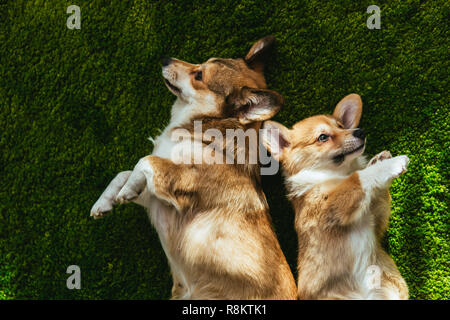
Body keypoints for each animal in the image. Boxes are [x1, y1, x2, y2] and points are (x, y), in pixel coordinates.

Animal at [89, 37, 298, 300]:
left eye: (198, 75)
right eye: (201, 63)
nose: (165, 59)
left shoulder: (180, 183)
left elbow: (146, 160)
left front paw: (126, 191)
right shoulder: (157, 199)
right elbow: (123, 173)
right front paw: (104, 202)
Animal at [262, 94, 410, 298]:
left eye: (341, 126)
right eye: (323, 137)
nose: (360, 132)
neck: (337, 175)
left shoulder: (376, 219)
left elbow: (377, 192)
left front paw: (379, 160)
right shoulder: (331, 207)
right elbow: (358, 178)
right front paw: (391, 164)